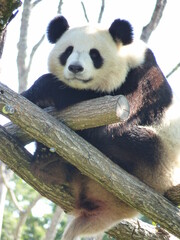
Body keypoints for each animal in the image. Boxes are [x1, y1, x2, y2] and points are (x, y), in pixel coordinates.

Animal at [21, 15, 180, 239]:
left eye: (94, 54)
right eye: (68, 51)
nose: (75, 68)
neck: (129, 56)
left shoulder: (143, 82)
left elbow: (110, 122)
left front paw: (42, 89)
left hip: (159, 164)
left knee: (133, 140)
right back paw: (48, 162)